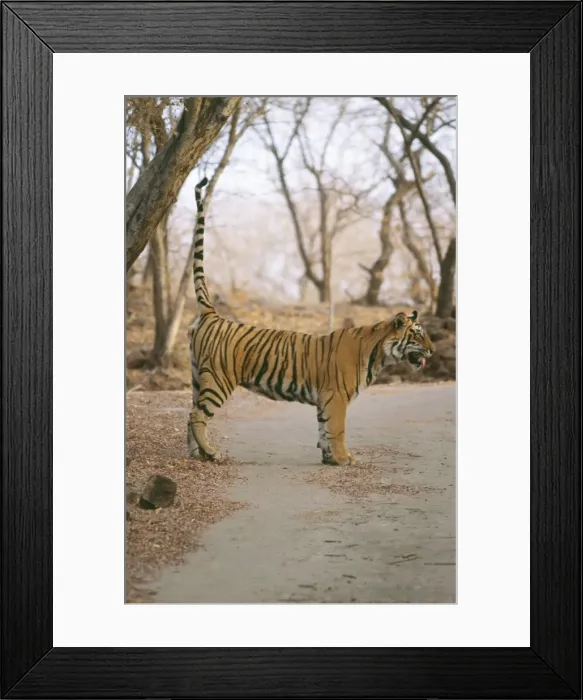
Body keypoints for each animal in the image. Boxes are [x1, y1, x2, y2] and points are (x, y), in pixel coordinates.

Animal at [187, 177, 435, 466]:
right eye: (417, 335)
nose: (433, 350)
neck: (379, 355)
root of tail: (212, 314)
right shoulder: (336, 395)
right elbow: (337, 429)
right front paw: (344, 458)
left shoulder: (325, 398)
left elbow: (323, 428)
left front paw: (330, 458)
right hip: (218, 379)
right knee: (197, 415)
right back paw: (211, 452)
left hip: (197, 377)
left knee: (190, 414)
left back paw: (196, 454)